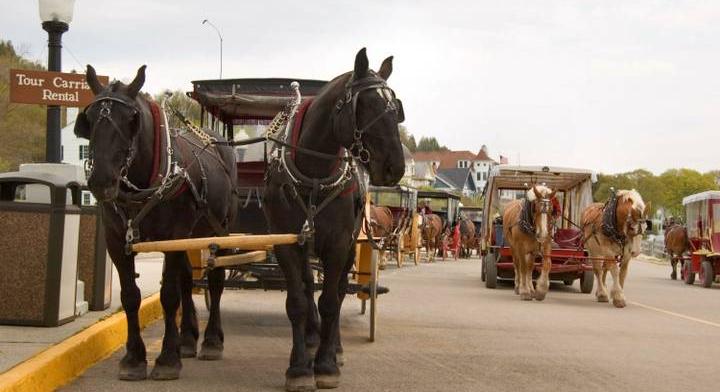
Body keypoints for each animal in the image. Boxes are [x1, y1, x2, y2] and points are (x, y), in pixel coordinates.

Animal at [74, 66, 236, 382]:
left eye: (132, 119)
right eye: (89, 118)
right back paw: (187, 339)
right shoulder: (117, 241)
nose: (101, 180)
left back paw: (212, 340)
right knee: (187, 279)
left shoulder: (173, 238)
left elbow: (168, 295)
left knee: (215, 281)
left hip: (219, 230)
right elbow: (130, 296)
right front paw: (134, 358)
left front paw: (167, 359)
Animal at [262, 49, 408, 392]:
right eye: (366, 105)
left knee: (339, 292)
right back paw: (312, 337)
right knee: (307, 286)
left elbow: (331, 301)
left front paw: (326, 364)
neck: (314, 176)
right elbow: (297, 301)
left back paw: (333, 347)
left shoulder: (339, 245)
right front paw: (299, 367)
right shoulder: (286, 242)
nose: (395, 167)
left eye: (396, 108)